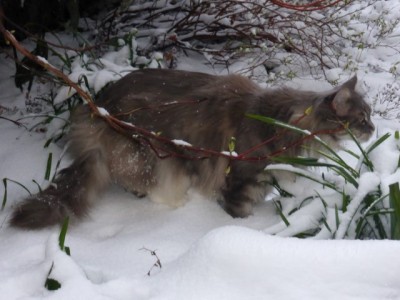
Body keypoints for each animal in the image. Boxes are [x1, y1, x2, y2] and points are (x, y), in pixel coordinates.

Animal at [9, 69, 376, 230]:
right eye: (362, 119)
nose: (375, 129)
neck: (282, 123)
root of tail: (98, 107)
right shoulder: (241, 181)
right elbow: (240, 214)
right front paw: (247, 229)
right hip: (155, 154)